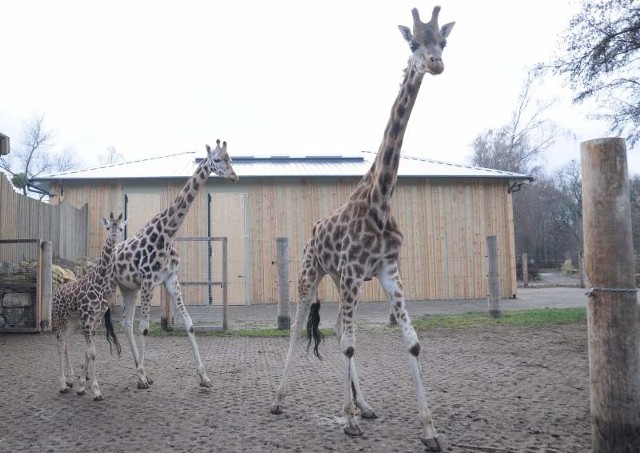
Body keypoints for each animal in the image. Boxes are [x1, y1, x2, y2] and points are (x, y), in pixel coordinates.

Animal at [53, 212, 127, 400]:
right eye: (108, 227)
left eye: (120, 228)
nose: (113, 236)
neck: (98, 284)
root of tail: (56, 291)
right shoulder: (87, 319)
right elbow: (92, 352)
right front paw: (95, 390)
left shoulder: (95, 321)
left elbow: (88, 351)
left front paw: (81, 386)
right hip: (60, 318)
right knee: (60, 342)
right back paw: (63, 384)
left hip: (72, 321)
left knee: (65, 342)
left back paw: (70, 379)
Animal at [114, 140, 238, 388]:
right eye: (216, 159)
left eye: (230, 158)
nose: (234, 176)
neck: (167, 233)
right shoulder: (149, 281)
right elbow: (144, 328)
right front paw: (141, 378)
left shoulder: (170, 278)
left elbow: (189, 323)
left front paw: (204, 377)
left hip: (128, 288)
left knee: (125, 323)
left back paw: (141, 371)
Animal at [270, 6, 456, 448]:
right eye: (413, 42)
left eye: (443, 41)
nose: (435, 63)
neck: (380, 200)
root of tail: (311, 232)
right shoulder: (355, 273)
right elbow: (351, 345)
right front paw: (348, 420)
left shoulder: (387, 271)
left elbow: (411, 344)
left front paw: (429, 430)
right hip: (311, 273)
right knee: (300, 326)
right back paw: (280, 399)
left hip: (340, 280)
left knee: (339, 329)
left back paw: (365, 405)